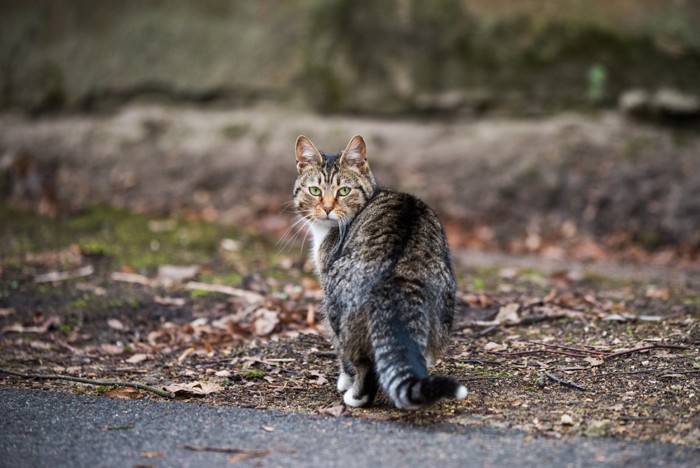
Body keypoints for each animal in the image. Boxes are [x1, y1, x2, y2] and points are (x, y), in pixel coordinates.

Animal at [292, 133, 468, 408]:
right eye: (315, 191)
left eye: (344, 191)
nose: (328, 209)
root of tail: (396, 275)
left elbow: (345, 360)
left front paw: (344, 381)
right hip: (442, 314)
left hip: (337, 309)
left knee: (363, 362)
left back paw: (356, 396)